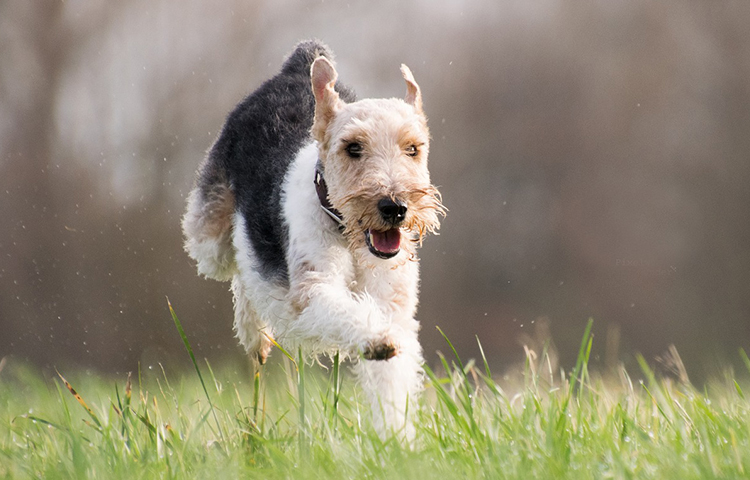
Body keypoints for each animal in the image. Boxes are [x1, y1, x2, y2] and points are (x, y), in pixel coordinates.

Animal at [183, 41, 444, 438]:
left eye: (413, 148)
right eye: (353, 147)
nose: (394, 207)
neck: (349, 237)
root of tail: (297, 65)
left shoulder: (394, 304)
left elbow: (392, 381)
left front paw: (397, 439)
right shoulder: (313, 289)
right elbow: (344, 312)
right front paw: (377, 340)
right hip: (209, 239)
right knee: (240, 267)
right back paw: (255, 336)